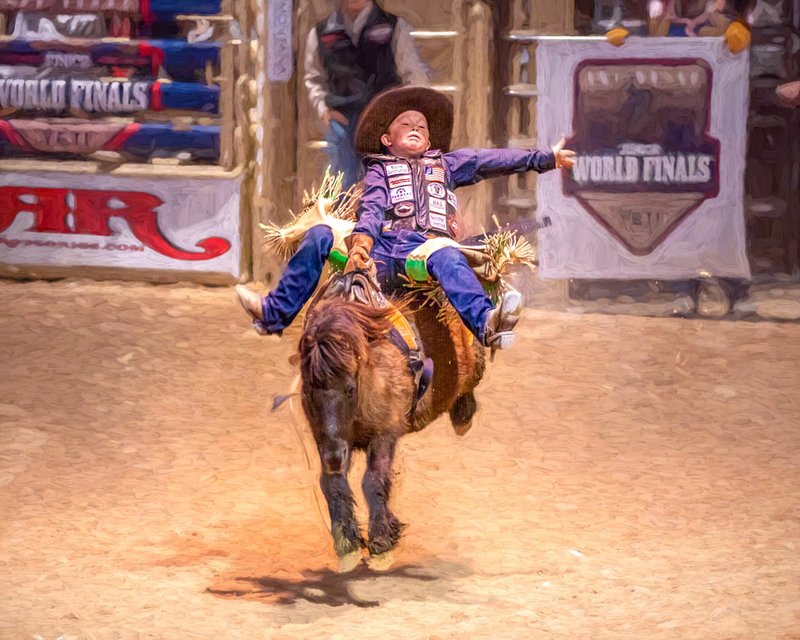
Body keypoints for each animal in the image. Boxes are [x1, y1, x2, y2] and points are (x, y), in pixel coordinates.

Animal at [298, 276, 484, 568]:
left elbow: (374, 479)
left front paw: (381, 543)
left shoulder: (384, 434)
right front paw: (348, 544)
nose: (334, 458)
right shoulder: (326, 439)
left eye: (350, 388)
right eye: (308, 389)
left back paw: (463, 414)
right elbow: (332, 483)